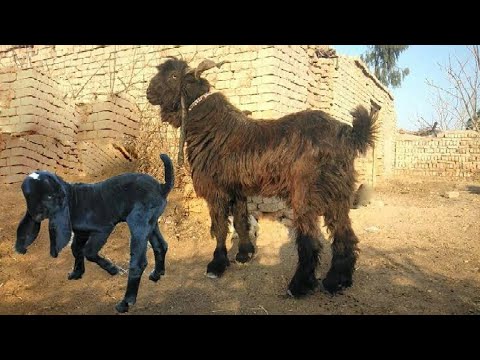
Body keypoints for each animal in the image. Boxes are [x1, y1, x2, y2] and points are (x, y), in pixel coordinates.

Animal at [147, 57, 378, 296]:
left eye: (174, 76)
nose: (149, 92)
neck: (207, 122)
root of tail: (348, 134)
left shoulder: (216, 189)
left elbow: (220, 227)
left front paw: (217, 264)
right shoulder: (237, 189)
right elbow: (241, 221)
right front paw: (245, 254)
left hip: (306, 195)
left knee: (311, 241)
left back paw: (299, 285)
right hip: (339, 195)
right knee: (345, 236)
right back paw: (338, 280)